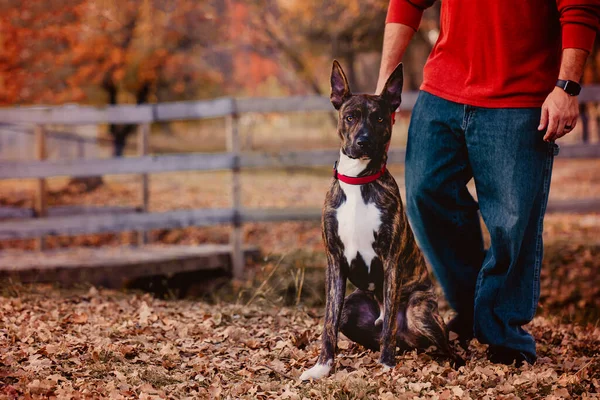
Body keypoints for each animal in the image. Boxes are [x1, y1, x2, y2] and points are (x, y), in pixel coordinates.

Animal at [300, 61, 464, 380]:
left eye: (379, 118)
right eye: (350, 117)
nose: (363, 141)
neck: (358, 181)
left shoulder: (390, 260)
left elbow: (389, 323)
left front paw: (387, 364)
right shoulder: (334, 260)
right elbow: (328, 323)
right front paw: (323, 366)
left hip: (419, 311)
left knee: (445, 347)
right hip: (352, 306)